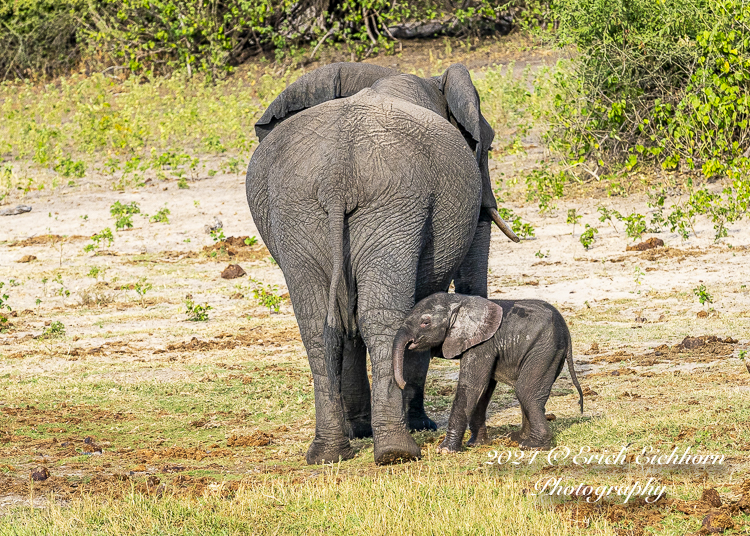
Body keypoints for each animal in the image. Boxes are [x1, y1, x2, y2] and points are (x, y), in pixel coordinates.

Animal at [247, 62, 516, 464]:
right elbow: (422, 305)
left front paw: (361, 430)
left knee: (319, 326)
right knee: (381, 319)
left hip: (303, 212)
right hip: (391, 205)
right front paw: (418, 425)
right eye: (489, 144)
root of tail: (337, 177)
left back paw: (330, 453)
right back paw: (397, 451)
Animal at [396, 294, 584, 452]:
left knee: (526, 392)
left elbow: (472, 386)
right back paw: (517, 438)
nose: (403, 383)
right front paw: (475, 444)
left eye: (425, 323)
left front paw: (445, 450)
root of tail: (567, 332)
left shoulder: (482, 344)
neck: (459, 300)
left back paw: (533, 446)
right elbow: (484, 389)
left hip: (544, 350)